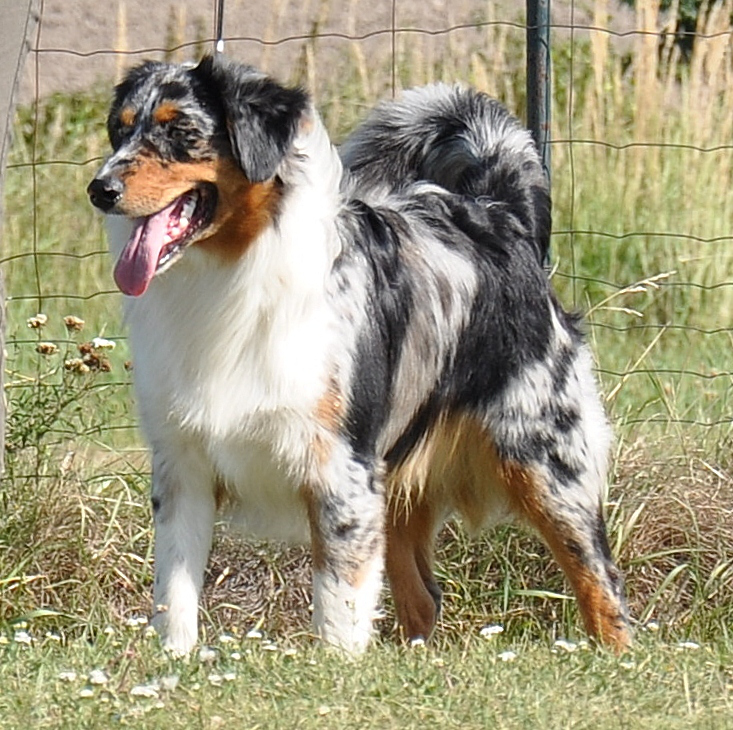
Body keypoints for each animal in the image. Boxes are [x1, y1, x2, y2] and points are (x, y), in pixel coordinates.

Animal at [87, 54, 631, 655]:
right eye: (119, 131)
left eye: (181, 132)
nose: (100, 188)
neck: (233, 272)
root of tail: (501, 215)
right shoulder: (183, 464)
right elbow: (174, 590)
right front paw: (175, 662)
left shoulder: (339, 467)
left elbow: (338, 600)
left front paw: (335, 670)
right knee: (423, 599)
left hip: (546, 461)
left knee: (602, 581)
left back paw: (617, 658)